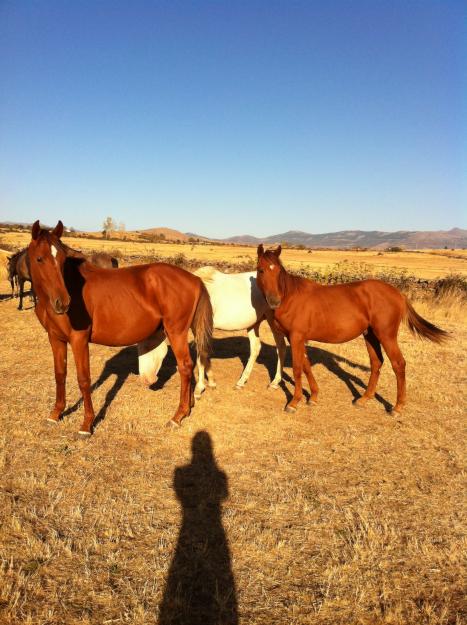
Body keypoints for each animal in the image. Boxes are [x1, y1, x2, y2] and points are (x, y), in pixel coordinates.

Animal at [28, 219, 212, 434]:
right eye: (39, 259)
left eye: (63, 260)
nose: (63, 303)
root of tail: (194, 279)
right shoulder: (55, 338)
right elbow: (60, 374)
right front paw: (56, 414)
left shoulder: (79, 340)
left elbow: (83, 379)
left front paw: (87, 424)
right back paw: (188, 408)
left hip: (177, 332)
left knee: (185, 367)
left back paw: (177, 416)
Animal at [137, 266, 288, 398]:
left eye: (147, 346)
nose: (146, 379)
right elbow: (205, 355)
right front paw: (211, 382)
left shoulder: (200, 327)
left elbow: (201, 356)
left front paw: (199, 388)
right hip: (253, 324)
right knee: (256, 348)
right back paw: (241, 382)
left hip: (272, 320)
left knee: (281, 347)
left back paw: (274, 383)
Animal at [256, 244, 450, 414]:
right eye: (261, 270)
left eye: (278, 271)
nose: (274, 301)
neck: (290, 297)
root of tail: (398, 294)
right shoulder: (296, 338)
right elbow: (306, 366)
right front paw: (314, 396)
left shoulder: (296, 337)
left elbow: (297, 369)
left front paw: (294, 402)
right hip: (370, 335)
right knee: (376, 362)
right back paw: (365, 398)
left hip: (386, 335)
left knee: (398, 364)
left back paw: (397, 407)